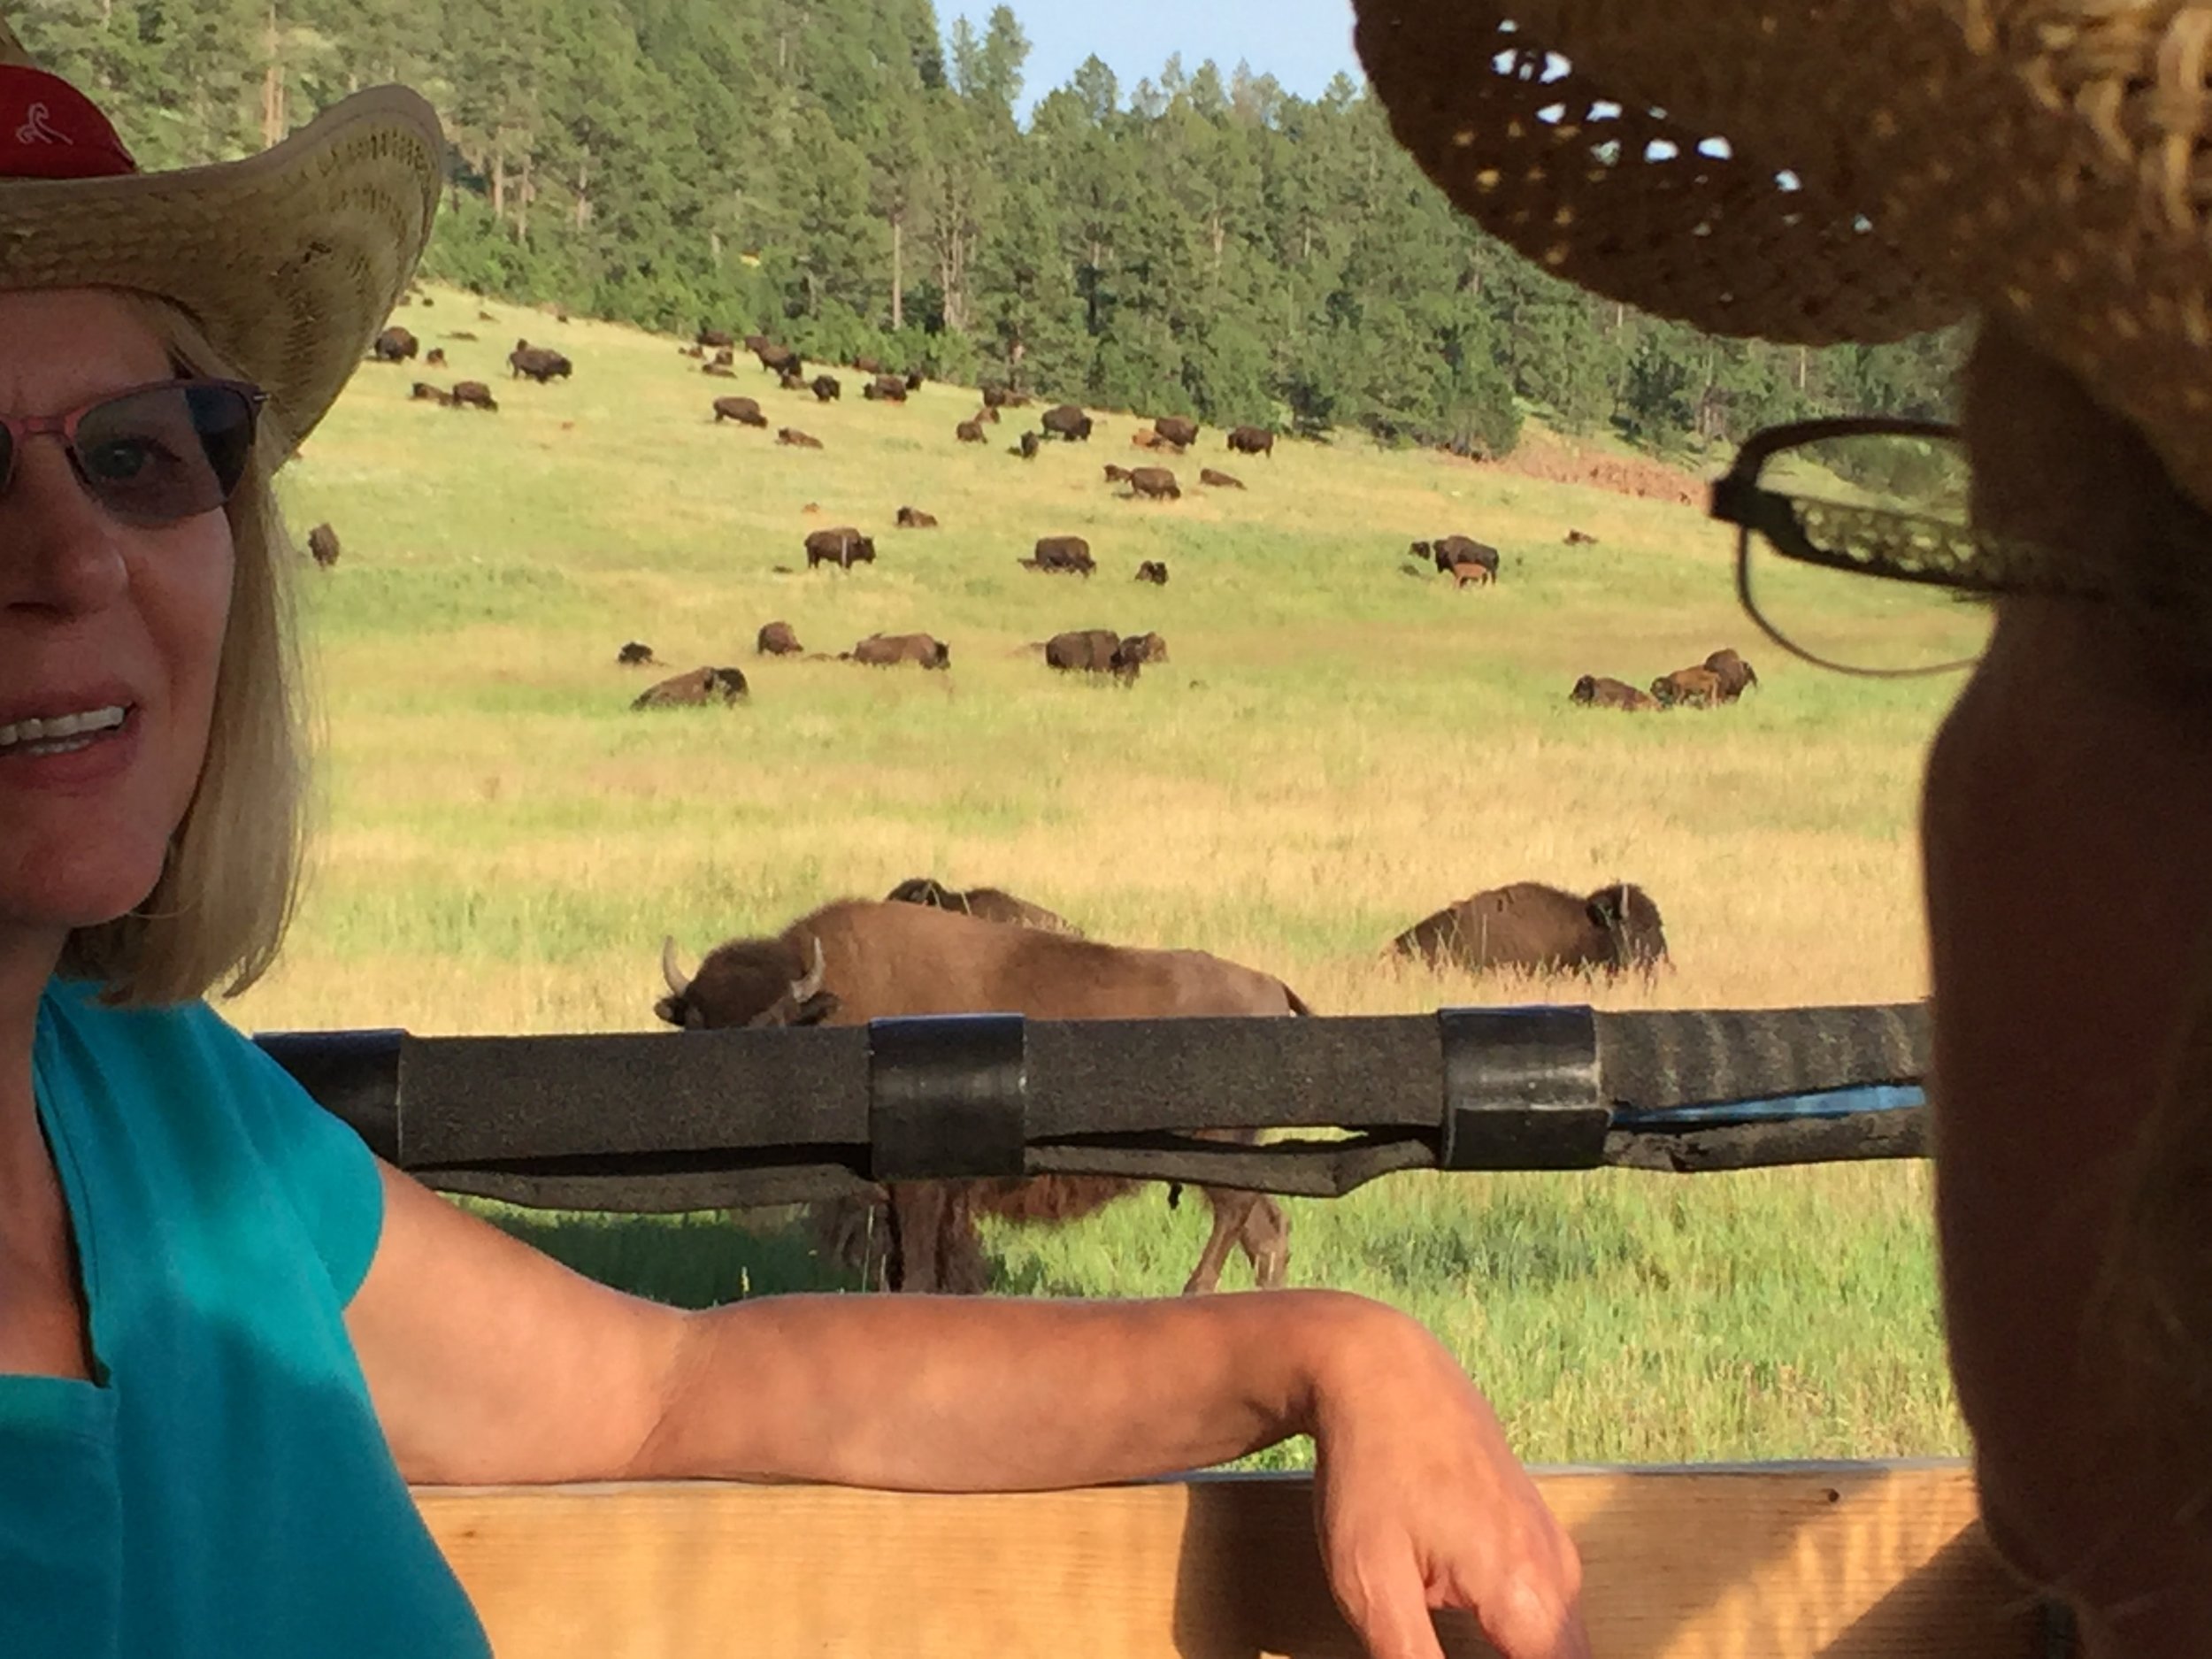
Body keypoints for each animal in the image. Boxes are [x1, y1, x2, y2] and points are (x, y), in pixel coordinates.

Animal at [655, 898, 1301, 1301]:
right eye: (695, 1026)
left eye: (776, 1025)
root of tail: (1271, 985)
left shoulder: (921, 1190)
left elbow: (919, 1265)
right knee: (1266, 1229)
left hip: (1215, 1151)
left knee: (1238, 1215)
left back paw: (1195, 1291)